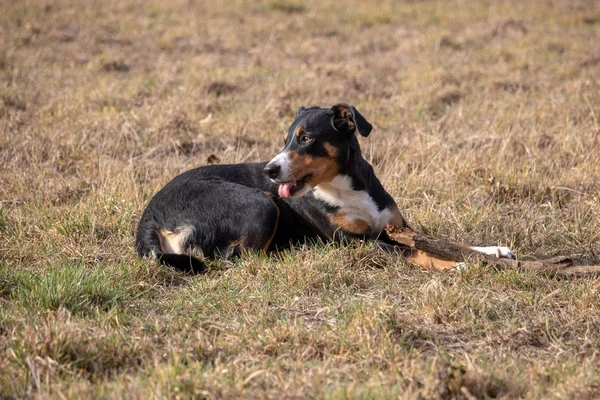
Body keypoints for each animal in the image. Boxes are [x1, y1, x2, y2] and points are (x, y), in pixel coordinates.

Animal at [135, 103, 510, 274]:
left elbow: (446, 242)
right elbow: (416, 253)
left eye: (306, 138)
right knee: (238, 258)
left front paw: (492, 251)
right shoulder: (356, 241)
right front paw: (460, 268)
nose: (271, 171)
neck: (347, 187)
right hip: (261, 204)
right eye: (287, 139)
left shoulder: (397, 227)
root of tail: (150, 214)